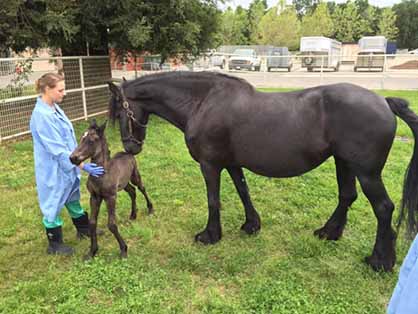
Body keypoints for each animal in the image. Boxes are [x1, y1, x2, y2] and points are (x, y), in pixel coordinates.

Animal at [70, 119, 153, 258]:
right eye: (81, 138)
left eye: (91, 141)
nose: (72, 158)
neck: (101, 174)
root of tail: (127, 152)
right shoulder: (95, 197)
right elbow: (92, 222)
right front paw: (92, 252)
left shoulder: (110, 197)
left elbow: (112, 224)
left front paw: (124, 249)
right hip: (123, 184)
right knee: (132, 192)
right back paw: (133, 215)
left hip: (134, 176)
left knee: (142, 188)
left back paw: (150, 209)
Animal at [107, 70, 418, 270]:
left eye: (120, 112)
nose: (130, 148)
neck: (203, 102)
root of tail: (384, 101)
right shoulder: (232, 163)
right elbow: (243, 191)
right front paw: (251, 225)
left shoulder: (210, 165)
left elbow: (213, 200)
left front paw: (210, 235)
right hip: (344, 162)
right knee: (347, 196)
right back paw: (329, 233)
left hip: (367, 172)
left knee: (383, 208)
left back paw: (380, 261)